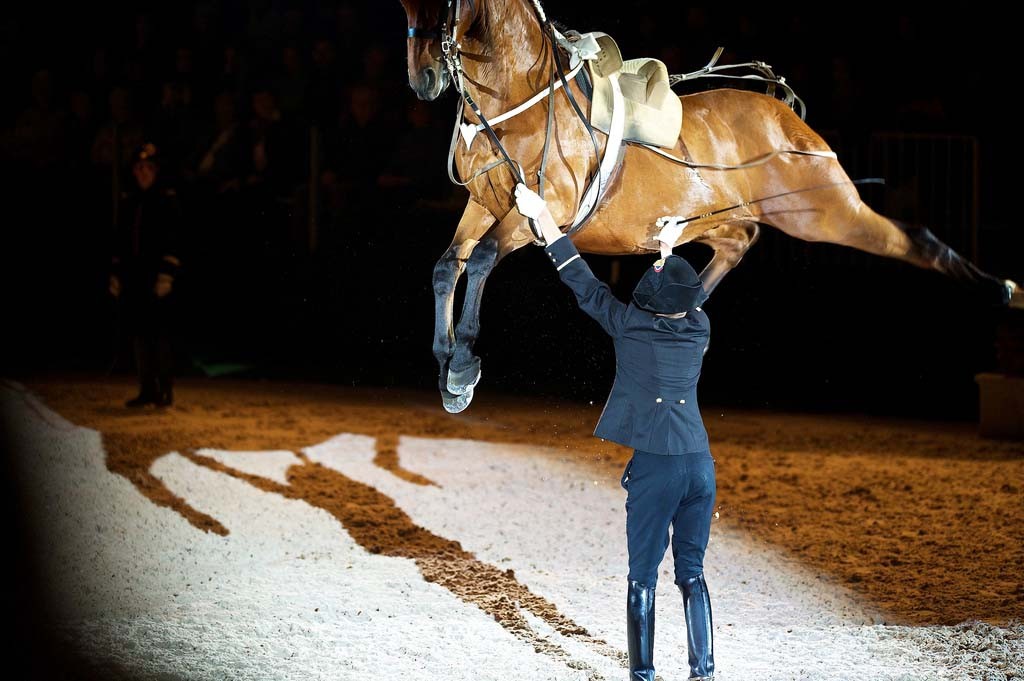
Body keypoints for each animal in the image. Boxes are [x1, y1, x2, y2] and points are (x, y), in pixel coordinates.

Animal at [397, 0, 1015, 411]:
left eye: (446, 0)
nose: (425, 79)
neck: (521, 96)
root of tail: (785, 115)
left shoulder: (543, 211)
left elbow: (480, 260)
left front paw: (463, 369)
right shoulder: (484, 202)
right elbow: (447, 266)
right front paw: (444, 360)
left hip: (823, 211)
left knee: (911, 239)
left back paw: (1002, 288)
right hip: (710, 220)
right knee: (737, 243)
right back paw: (681, 309)